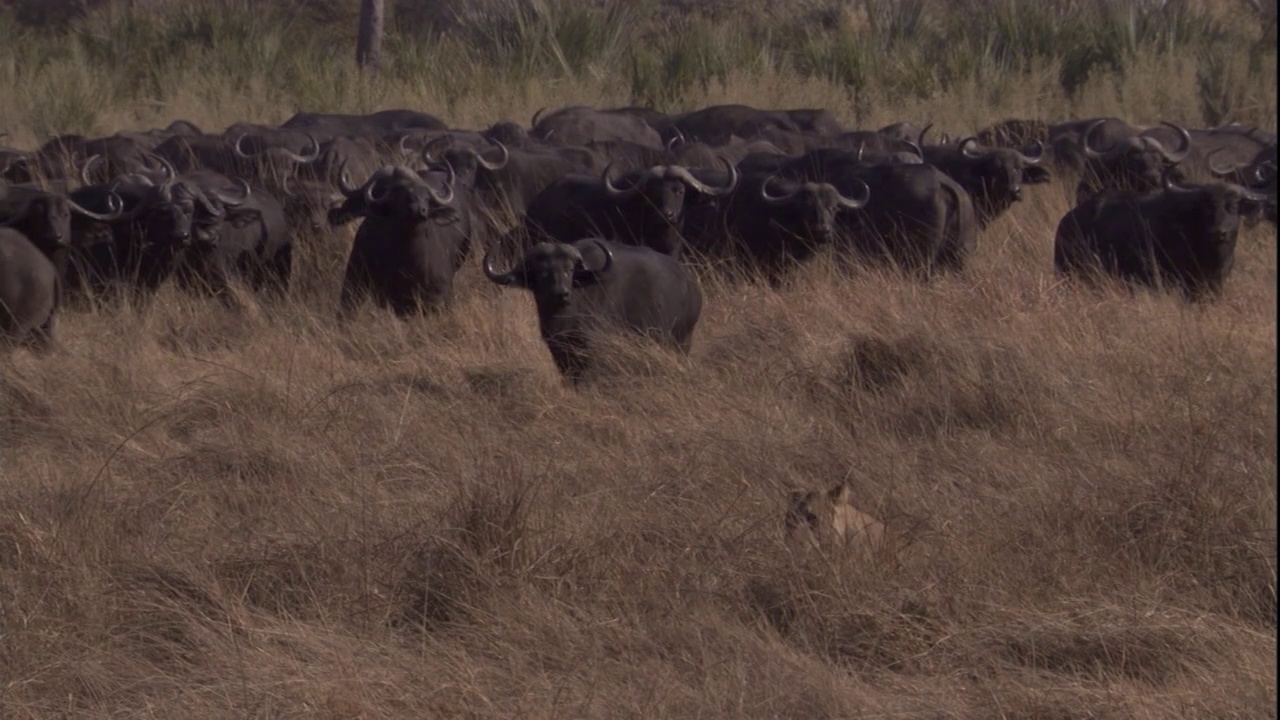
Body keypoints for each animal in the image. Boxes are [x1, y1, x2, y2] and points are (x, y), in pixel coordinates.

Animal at [481, 237, 701, 384]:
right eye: (541, 272)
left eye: (569, 269)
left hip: (680, 341)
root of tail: (691, 286)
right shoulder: (560, 354)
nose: (561, 293)